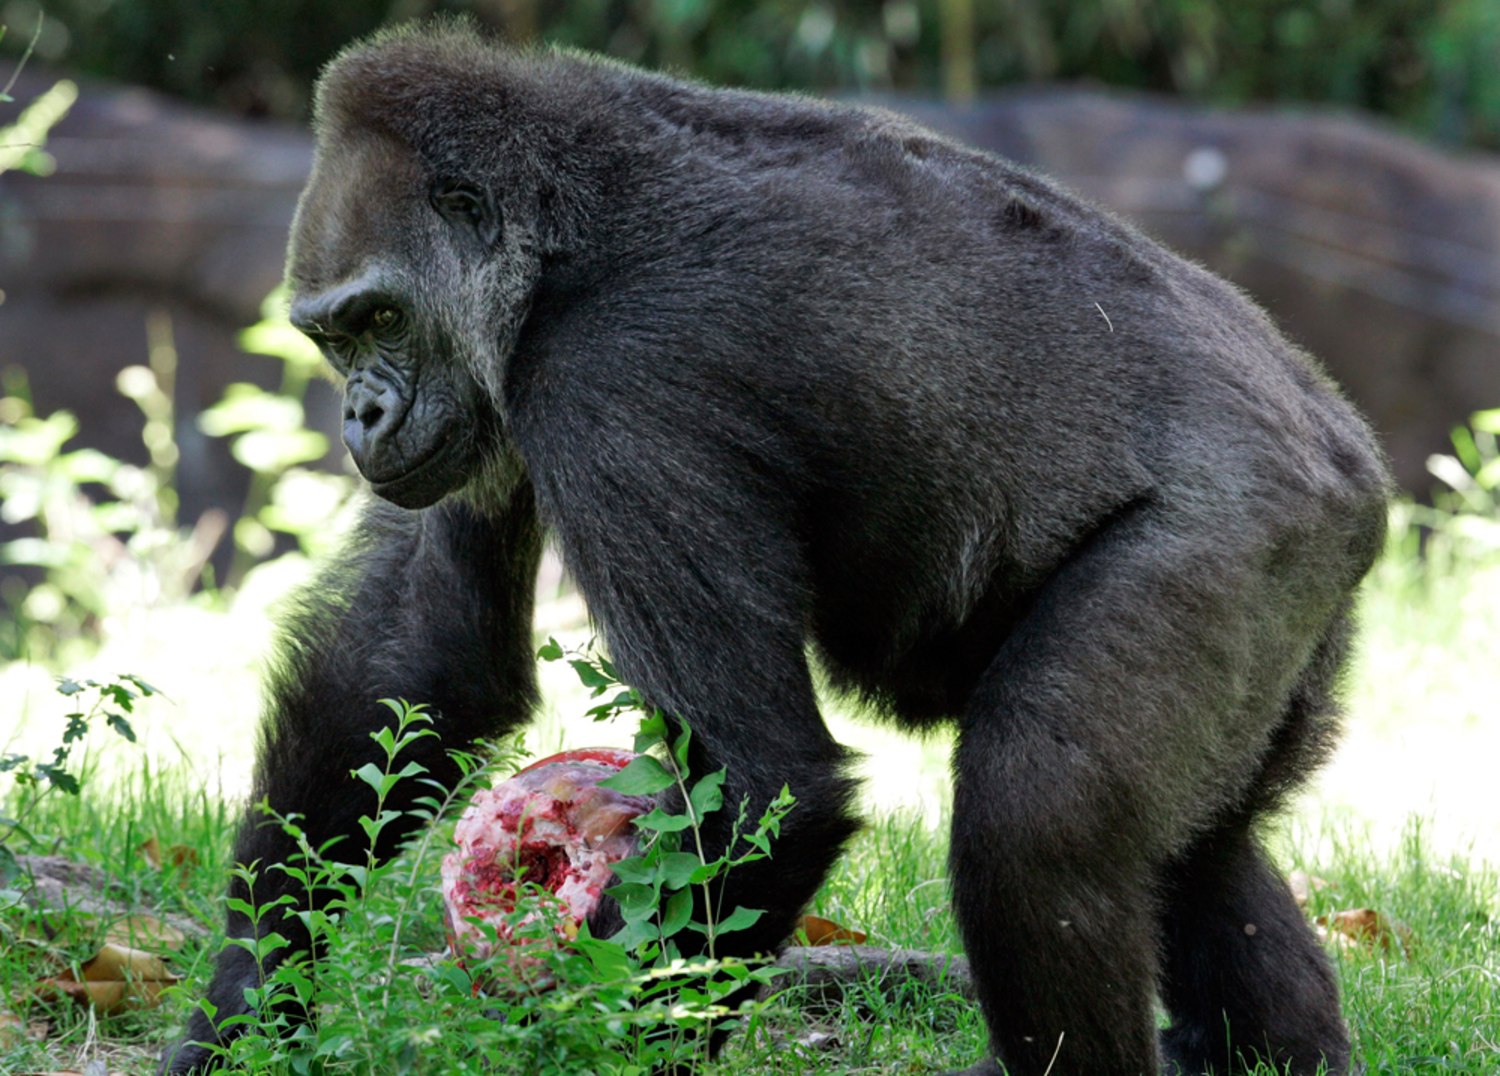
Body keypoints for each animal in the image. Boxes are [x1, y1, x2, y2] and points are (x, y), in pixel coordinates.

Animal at [162, 20, 1388, 1075]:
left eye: (379, 319)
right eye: (331, 337)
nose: (362, 416)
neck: (560, 236)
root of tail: (1356, 460)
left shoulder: (612, 380)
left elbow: (763, 784)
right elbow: (422, 658)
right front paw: (243, 1010)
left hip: (1244, 529)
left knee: (1036, 819)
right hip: (1300, 592)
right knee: (1200, 854)